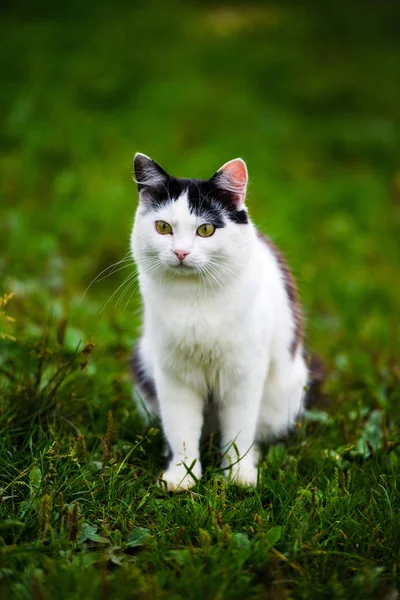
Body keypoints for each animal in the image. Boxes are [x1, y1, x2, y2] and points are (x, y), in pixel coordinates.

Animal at [130, 154, 308, 492]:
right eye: (163, 227)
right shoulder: (174, 375)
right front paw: (182, 478)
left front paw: (239, 477)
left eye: (206, 230)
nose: (181, 252)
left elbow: (239, 431)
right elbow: (182, 430)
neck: (194, 301)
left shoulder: (244, 373)